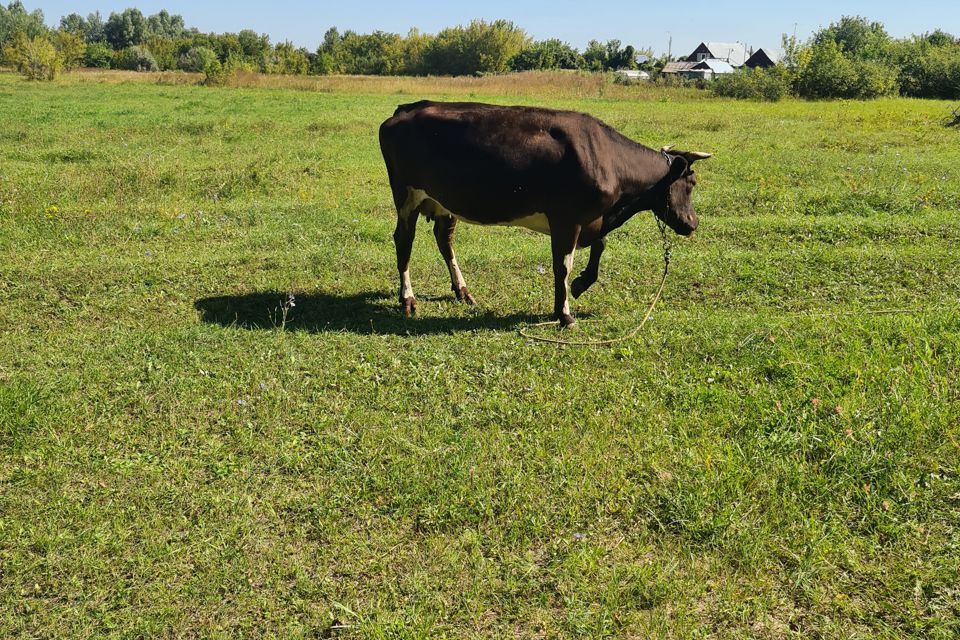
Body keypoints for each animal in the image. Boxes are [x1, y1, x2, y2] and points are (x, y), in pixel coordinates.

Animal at [378, 103, 708, 330]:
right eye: (691, 183)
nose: (693, 224)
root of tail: (408, 108)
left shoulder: (591, 219)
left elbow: (599, 246)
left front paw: (581, 284)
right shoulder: (566, 218)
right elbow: (563, 265)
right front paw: (564, 314)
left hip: (444, 200)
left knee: (444, 239)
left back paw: (462, 290)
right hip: (406, 194)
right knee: (404, 242)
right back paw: (407, 298)